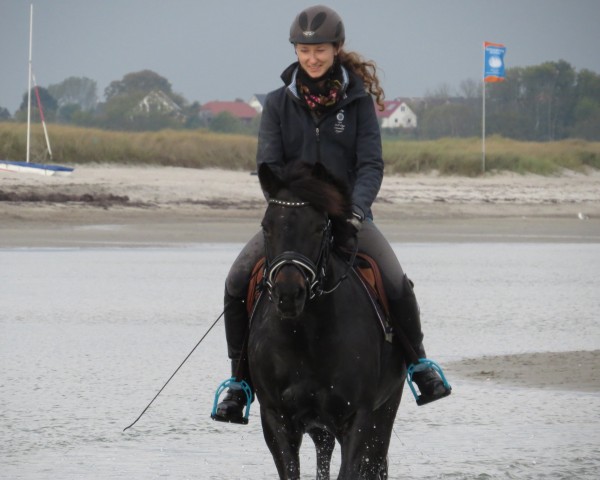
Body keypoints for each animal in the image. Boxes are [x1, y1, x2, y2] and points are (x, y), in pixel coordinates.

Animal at [246, 163, 406, 478]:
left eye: (319, 227)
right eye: (266, 226)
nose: (288, 293)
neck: (305, 337)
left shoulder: (358, 418)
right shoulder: (276, 419)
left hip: (385, 409)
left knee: (377, 459)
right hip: (320, 427)